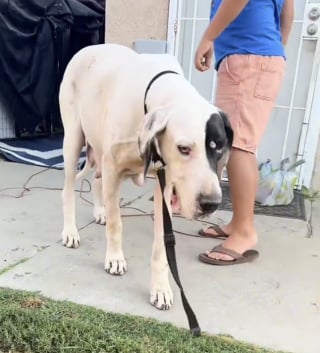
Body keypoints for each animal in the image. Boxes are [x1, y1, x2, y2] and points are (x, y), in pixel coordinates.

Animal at [58, 43, 232, 308]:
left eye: (219, 147)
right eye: (184, 148)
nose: (210, 204)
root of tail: (88, 48)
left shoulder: (164, 183)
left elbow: (161, 243)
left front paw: (160, 288)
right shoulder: (113, 167)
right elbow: (117, 224)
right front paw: (115, 259)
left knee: (97, 180)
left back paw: (100, 212)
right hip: (73, 140)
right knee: (68, 190)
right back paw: (70, 231)